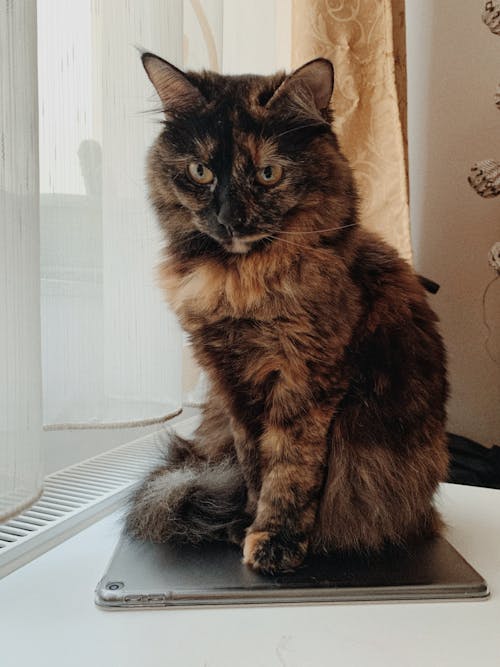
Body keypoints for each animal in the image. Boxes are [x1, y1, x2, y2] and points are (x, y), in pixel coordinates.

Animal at [126, 53, 450, 576]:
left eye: (267, 174)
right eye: (200, 171)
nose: (228, 218)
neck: (239, 283)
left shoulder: (306, 379)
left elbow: (290, 468)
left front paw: (275, 542)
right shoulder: (231, 382)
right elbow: (253, 462)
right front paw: (247, 521)